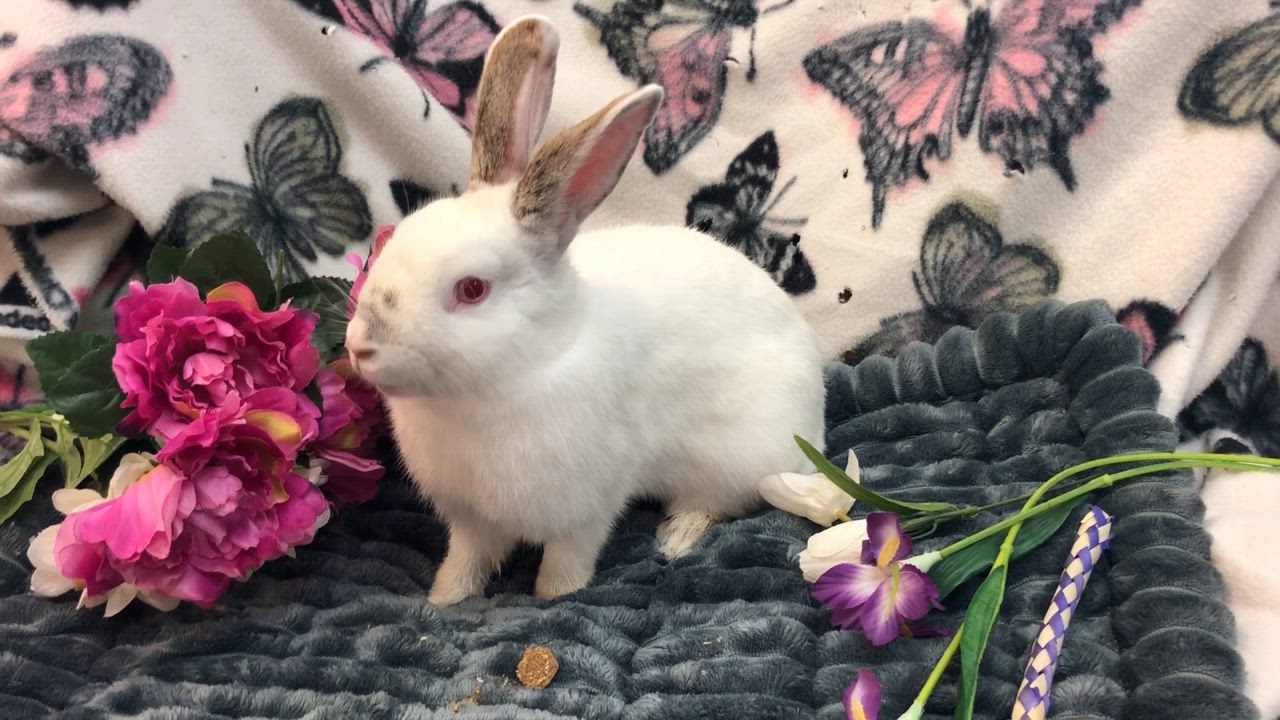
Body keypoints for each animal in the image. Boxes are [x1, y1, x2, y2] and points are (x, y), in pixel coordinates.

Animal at [344, 15, 825, 606]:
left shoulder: (588, 506)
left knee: (721, 500)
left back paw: (677, 536)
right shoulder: (473, 519)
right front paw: (442, 600)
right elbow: (467, 559)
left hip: (741, 458)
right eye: (393, 243)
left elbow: (568, 559)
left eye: (472, 289)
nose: (360, 347)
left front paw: (554, 597)